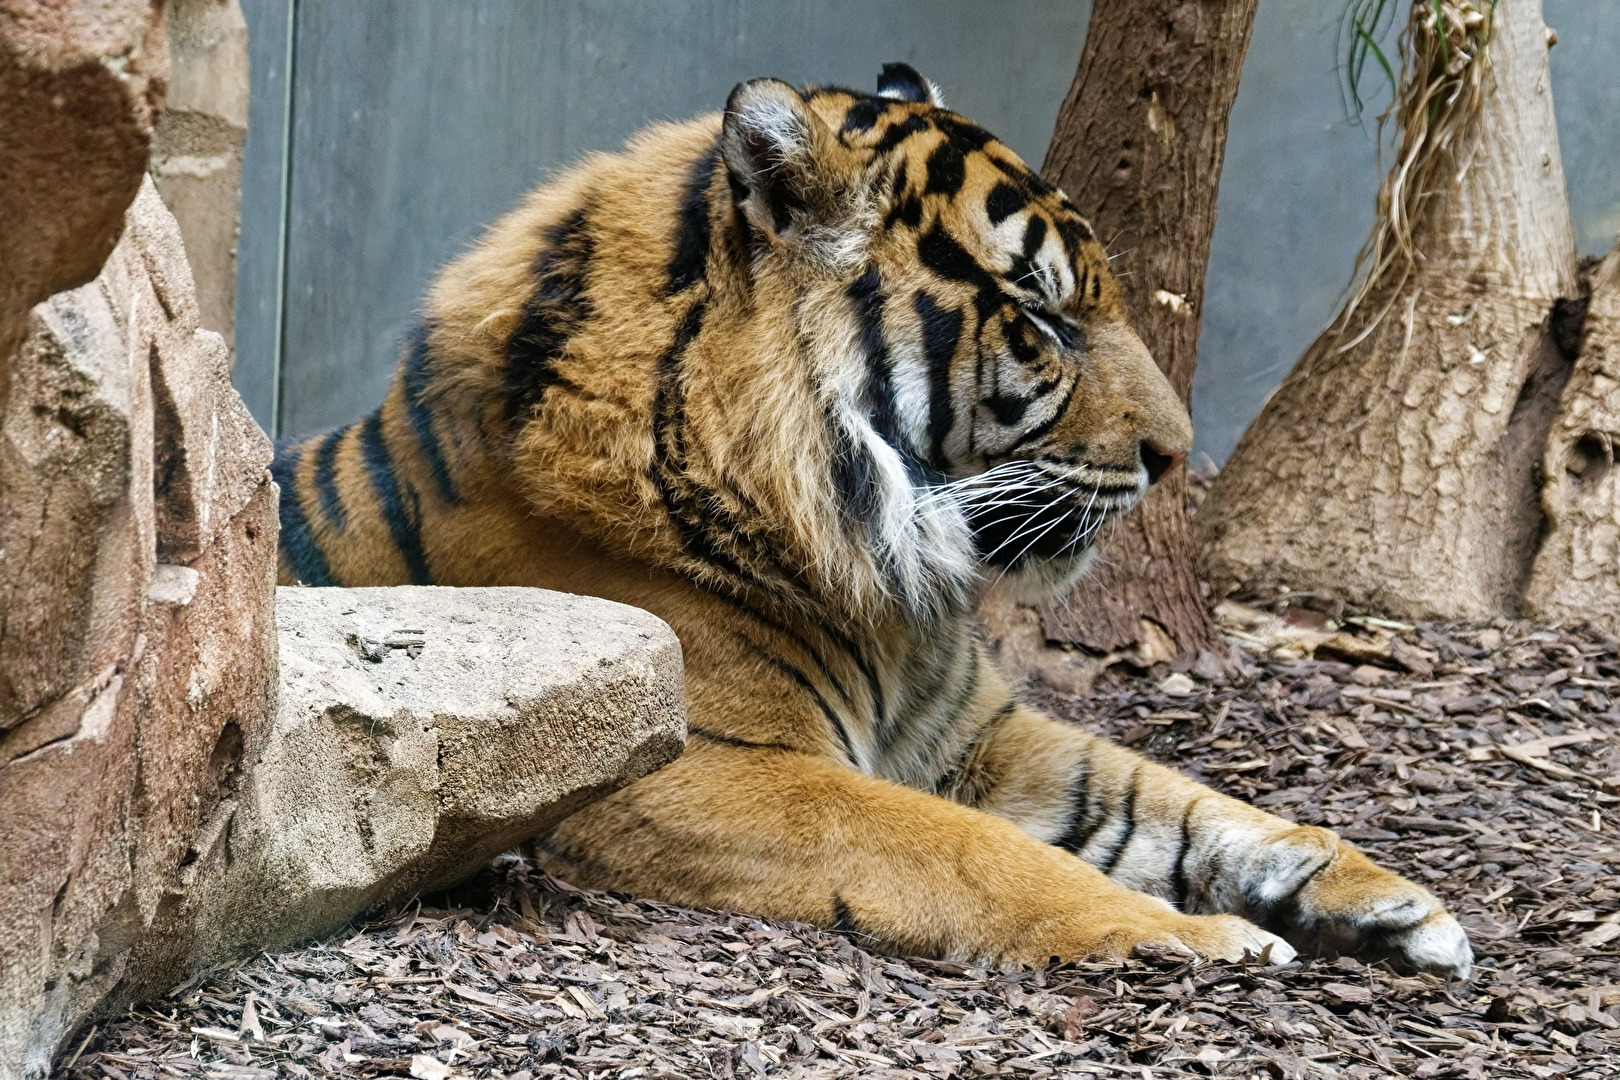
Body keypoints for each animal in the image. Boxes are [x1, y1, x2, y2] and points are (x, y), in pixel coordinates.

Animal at [271, 64, 1472, 976]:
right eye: (1041, 317)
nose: (1175, 457)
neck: (884, 577)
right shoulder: (696, 766)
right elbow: (978, 852)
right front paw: (1200, 936)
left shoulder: (978, 730)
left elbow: (1172, 801)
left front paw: (1393, 902)